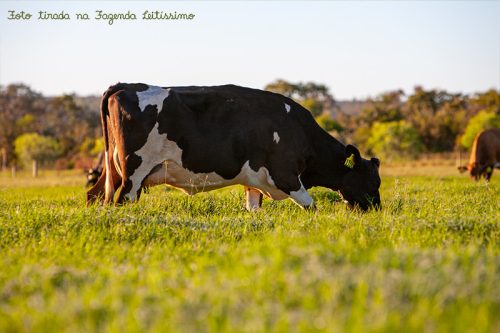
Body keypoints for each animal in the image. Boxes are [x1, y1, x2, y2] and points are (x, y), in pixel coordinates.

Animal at [87, 84, 382, 211]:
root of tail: (124, 86)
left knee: (94, 195)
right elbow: (311, 206)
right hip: (134, 173)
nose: (376, 210)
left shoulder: (254, 182)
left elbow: (254, 210)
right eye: (371, 182)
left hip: (112, 171)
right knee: (122, 200)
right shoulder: (286, 175)